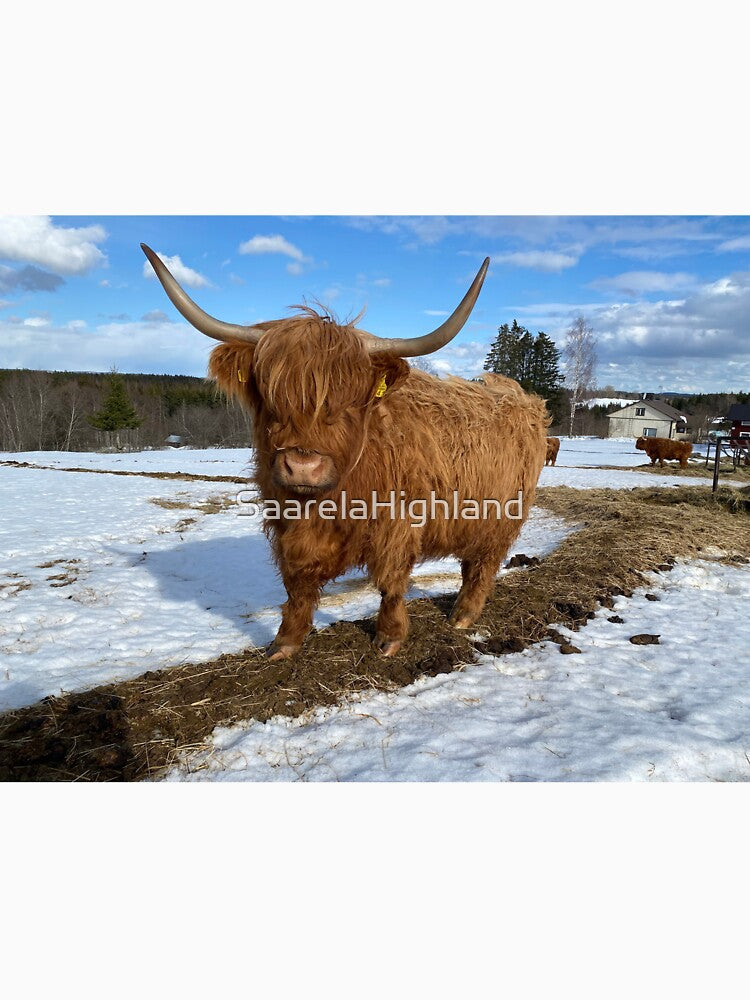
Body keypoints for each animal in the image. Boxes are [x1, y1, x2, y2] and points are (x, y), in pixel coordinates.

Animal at [141, 244, 549, 660]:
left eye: (347, 405)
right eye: (272, 400)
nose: (303, 467)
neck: (329, 502)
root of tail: (523, 398)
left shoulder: (398, 525)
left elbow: (391, 583)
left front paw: (390, 637)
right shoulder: (288, 526)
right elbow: (296, 586)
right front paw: (285, 641)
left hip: (502, 516)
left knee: (482, 565)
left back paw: (463, 615)